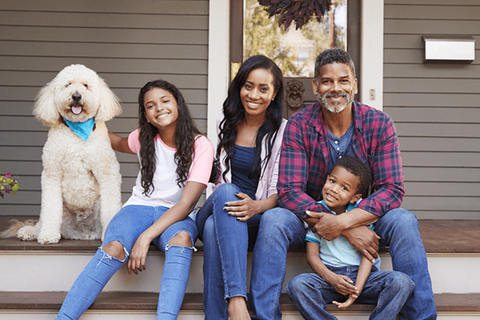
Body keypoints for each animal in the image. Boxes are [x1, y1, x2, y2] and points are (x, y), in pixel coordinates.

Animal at [2, 65, 122, 245]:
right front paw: (47, 235)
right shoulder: (52, 173)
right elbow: (50, 209)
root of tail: (81, 232)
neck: (77, 131)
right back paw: (31, 232)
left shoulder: (107, 172)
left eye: (86, 85)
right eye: (68, 84)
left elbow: (111, 209)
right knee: (43, 220)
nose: (76, 96)